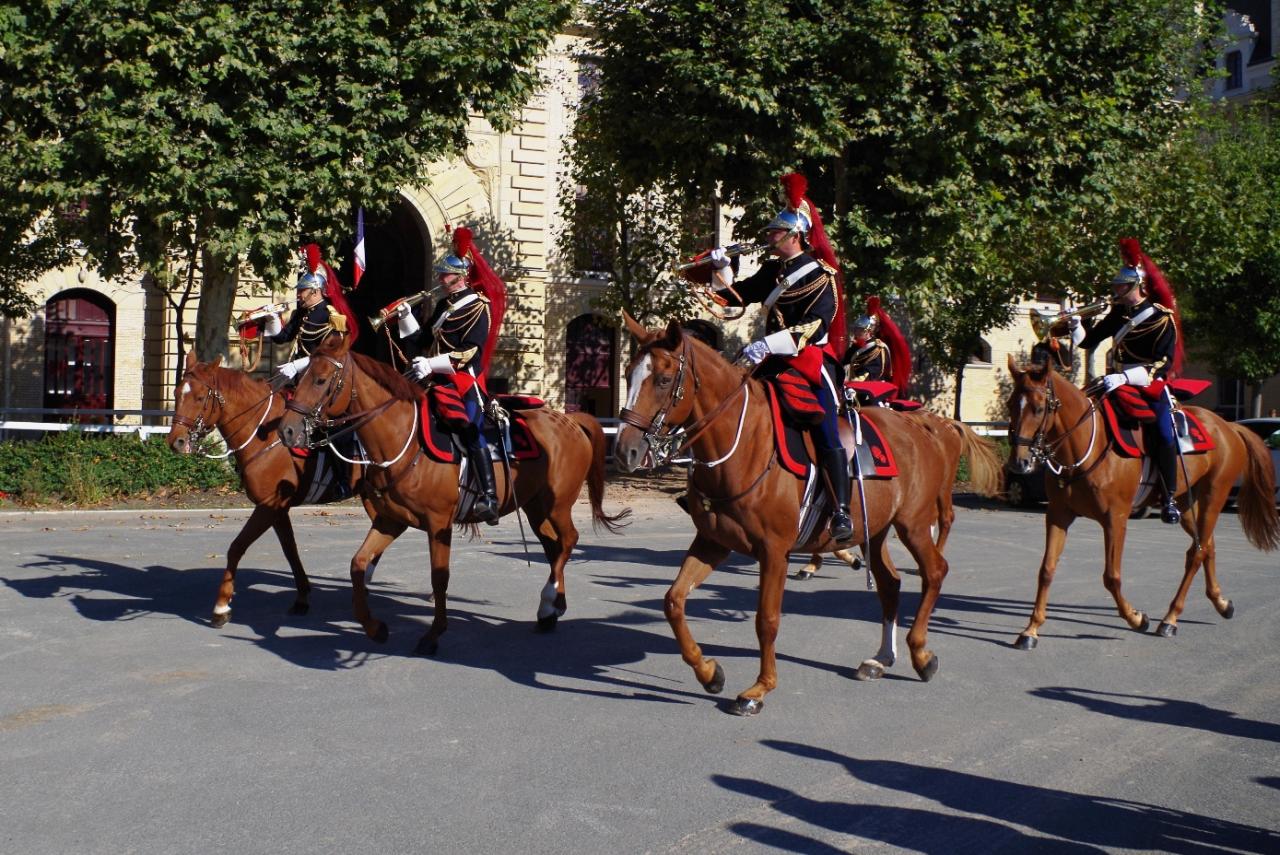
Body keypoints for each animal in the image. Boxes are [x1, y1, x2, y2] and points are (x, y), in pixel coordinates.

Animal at [165, 350, 366, 624]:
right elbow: (290, 549)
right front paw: (302, 597)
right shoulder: (278, 510)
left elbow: (236, 547)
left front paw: (221, 605)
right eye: (176, 393)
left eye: (198, 397)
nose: (176, 441)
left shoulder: (268, 506)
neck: (264, 435)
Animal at [277, 332, 627, 655]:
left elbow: (439, 577)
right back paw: (551, 610)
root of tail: (569, 419)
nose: (287, 431)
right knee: (554, 547)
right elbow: (358, 563)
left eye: (321, 379)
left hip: (557, 505)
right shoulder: (391, 520)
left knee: (568, 541)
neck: (403, 441)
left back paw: (548, 600)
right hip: (535, 507)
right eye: (301, 376)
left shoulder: (438, 523)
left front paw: (433, 635)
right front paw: (374, 627)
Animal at [614, 313, 1003, 716]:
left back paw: (921, 654)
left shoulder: (774, 551)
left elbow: (767, 620)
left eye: (662, 379)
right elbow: (673, 601)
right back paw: (880, 658)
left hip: (912, 524)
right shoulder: (713, 542)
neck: (744, 445)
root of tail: (927, 425)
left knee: (935, 572)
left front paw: (759, 689)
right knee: (890, 584)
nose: (625, 451)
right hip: (877, 531)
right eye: (627, 373)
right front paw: (708, 672)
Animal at [1003, 353, 1274, 647]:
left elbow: (1111, 576)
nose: (1019, 463)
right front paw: (1031, 629)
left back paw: (1170, 618)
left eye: (1039, 408)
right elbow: (1046, 569)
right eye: (1010, 405)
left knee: (1196, 553)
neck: (1084, 446)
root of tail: (1230, 427)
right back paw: (1220, 602)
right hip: (1188, 505)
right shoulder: (1058, 514)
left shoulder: (1116, 519)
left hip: (1214, 496)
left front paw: (1136, 618)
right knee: (1207, 546)